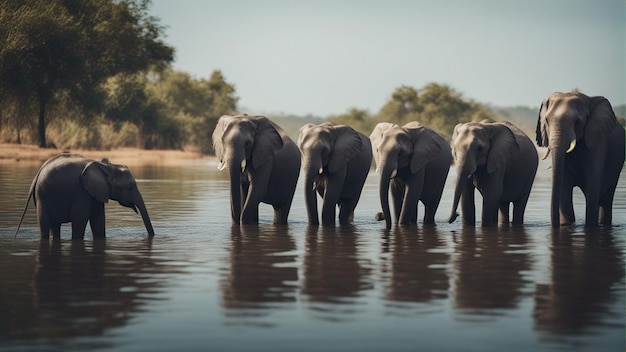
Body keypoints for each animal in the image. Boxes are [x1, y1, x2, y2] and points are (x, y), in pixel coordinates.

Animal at [15, 154, 154, 239]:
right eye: (130, 186)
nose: (152, 236)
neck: (106, 167)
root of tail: (37, 175)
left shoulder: (97, 191)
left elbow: (98, 220)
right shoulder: (81, 192)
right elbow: (80, 219)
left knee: (54, 226)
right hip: (42, 195)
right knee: (44, 224)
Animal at [532, 91, 620, 228]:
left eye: (578, 122)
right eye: (546, 120)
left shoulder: (597, 141)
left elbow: (592, 183)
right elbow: (564, 187)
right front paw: (566, 225)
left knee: (606, 199)